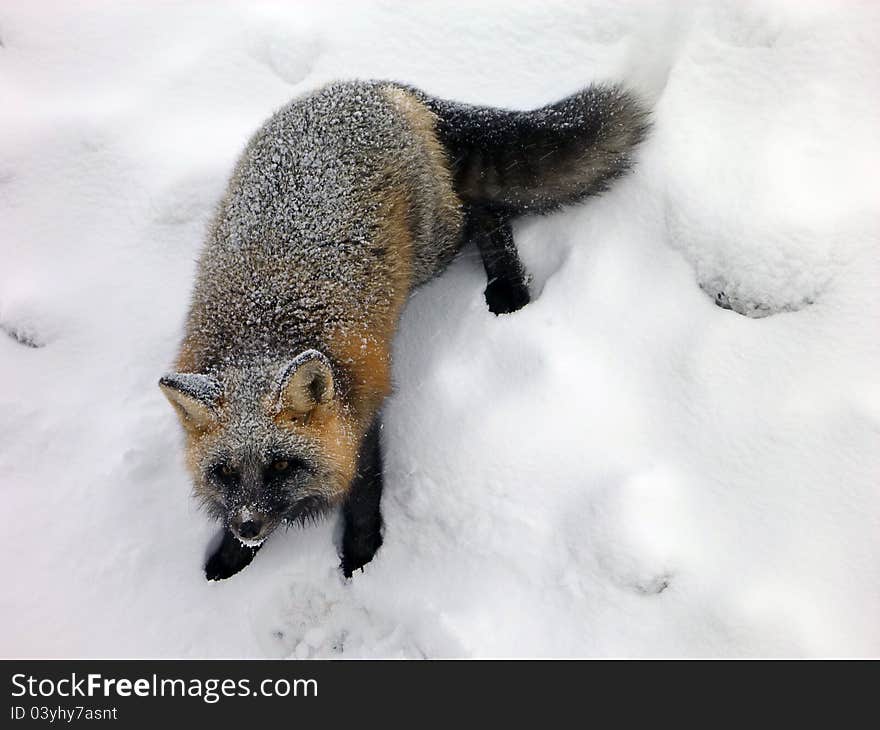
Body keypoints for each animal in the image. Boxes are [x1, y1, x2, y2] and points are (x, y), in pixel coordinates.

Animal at [158, 79, 648, 580]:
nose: (248, 526)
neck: (261, 335)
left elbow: (364, 492)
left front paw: (361, 557)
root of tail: (372, 86)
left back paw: (509, 288)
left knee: (483, 210)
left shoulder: (363, 406)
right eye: (226, 473)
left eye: (280, 465)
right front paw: (230, 557)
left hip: (432, 248)